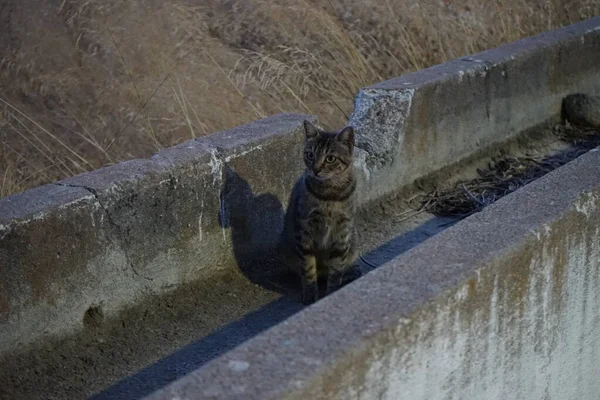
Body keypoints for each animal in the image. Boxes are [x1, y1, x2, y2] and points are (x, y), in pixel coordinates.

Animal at [278, 120, 358, 304]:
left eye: (330, 158)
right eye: (310, 155)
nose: (315, 169)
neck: (330, 195)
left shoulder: (343, 232)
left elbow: (336, 268)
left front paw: (333, 292)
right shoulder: (304, 231)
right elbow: (308, 268)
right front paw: (309, 294)